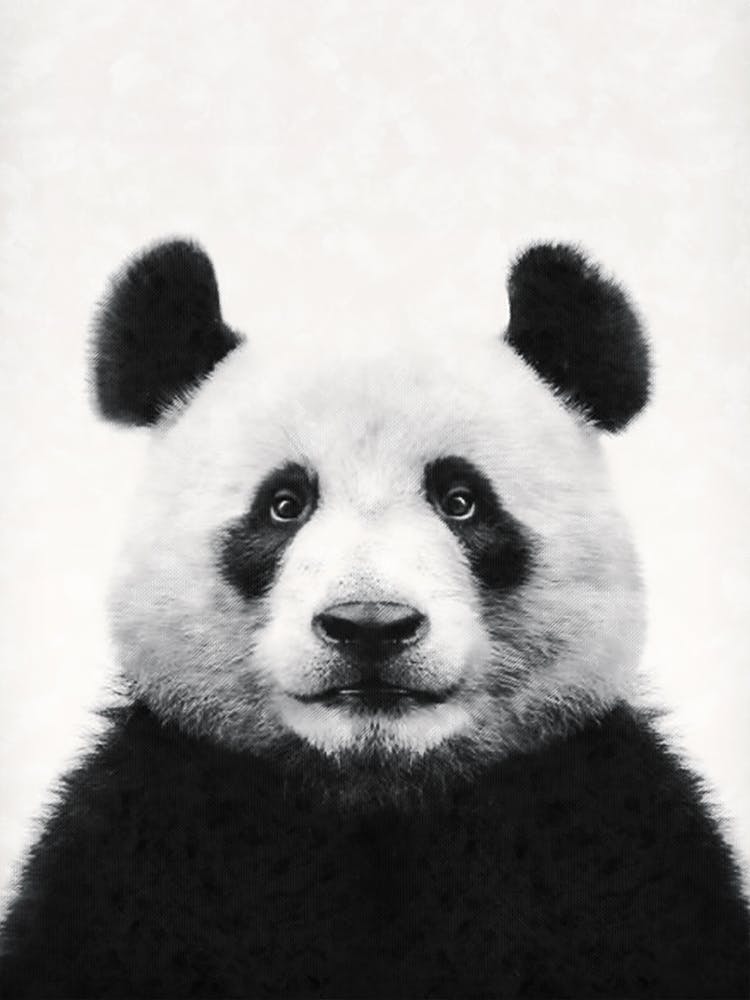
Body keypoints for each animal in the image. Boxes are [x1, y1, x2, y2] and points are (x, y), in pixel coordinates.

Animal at [0, 239, 747, 999]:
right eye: (284, 504)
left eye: (461, 500)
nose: (370, 624)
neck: (376, 794)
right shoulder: (144, 838)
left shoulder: (610, 834)